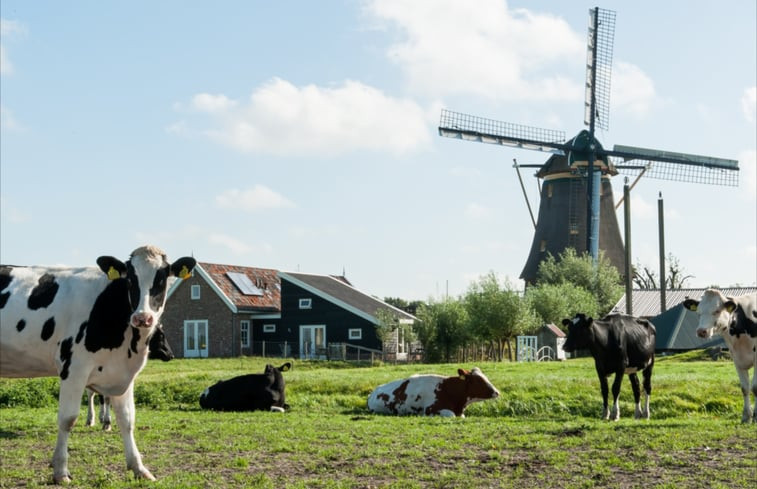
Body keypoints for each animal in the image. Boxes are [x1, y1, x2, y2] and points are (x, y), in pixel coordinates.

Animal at [0, 246, 195, 482]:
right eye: (130, 278)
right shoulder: (73, 368)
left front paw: (139, 468)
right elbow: (68, 419)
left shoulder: (123, 374)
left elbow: (127, 419)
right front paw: (61, 471)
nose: (142, 318)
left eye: (163, 277)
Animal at [680, 288, 756, 422]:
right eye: (698, 312)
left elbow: (756, 388)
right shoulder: (737, 359)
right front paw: (746, 417)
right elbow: (745, 388)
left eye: (717, 311)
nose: (701, 331)